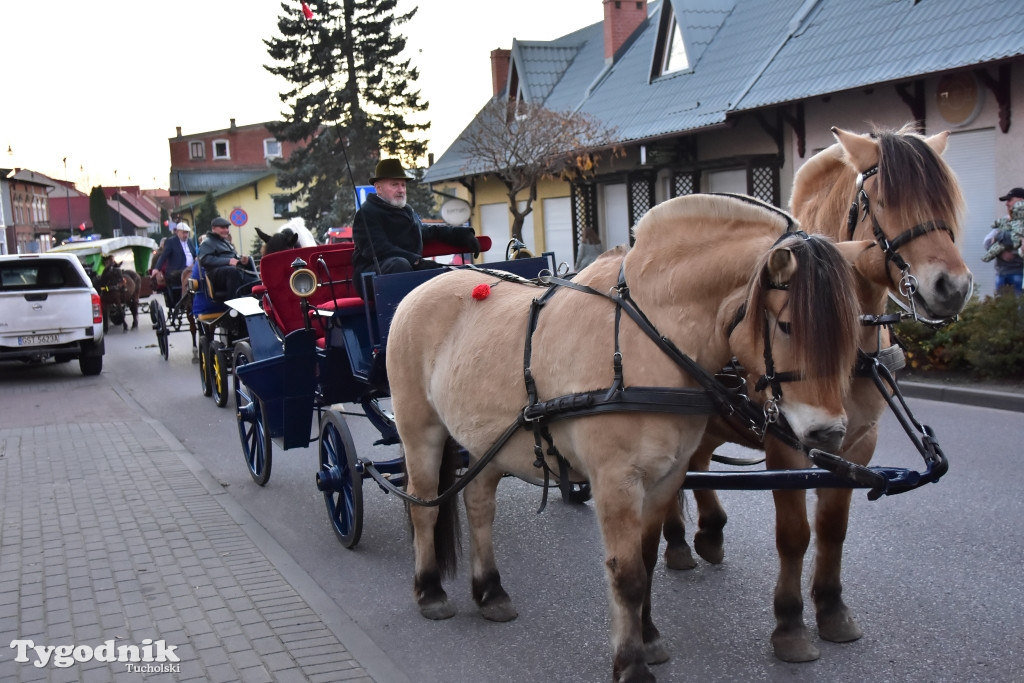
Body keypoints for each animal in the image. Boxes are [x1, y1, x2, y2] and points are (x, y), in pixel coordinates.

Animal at [387, 194, 868, 679]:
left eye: (850, 331)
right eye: (786, 325)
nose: (829, 432)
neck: (647, 339)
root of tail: (421, 288)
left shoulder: (665, 478)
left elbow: (648, 561)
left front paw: (649, 637)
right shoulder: (616, 482)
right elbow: (627, 573)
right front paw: (631, 664)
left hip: (488, 443)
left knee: (479, 505)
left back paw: (490, 591)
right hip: (420, 431)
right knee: (424, 505)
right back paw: (430, 590)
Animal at [659, 124, 970, 663]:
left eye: (947, 201)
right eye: (884, 201)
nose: (952, 287)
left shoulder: (856, 442)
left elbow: (832, 528)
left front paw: (831, 608)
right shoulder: (787, 443)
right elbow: (794, 534)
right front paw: (789, 623)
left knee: (694, 463)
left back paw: (705, 532)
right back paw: (678, 539)